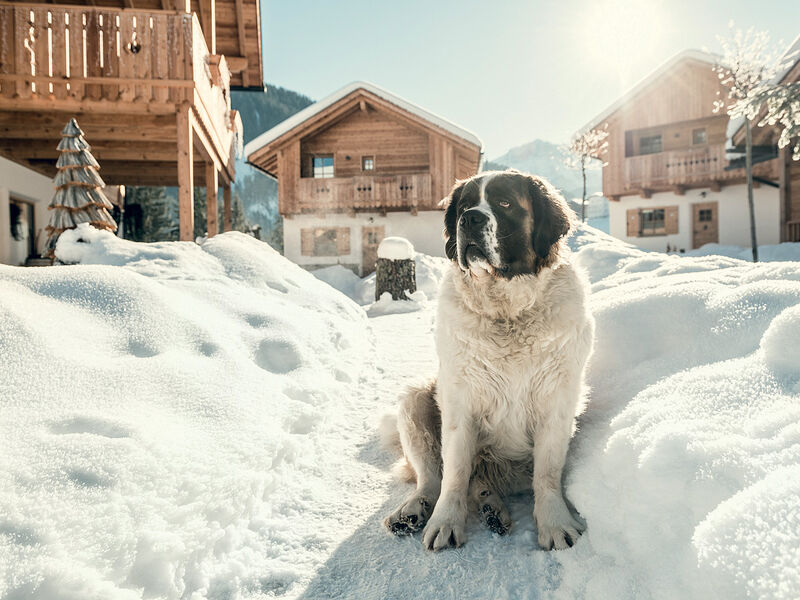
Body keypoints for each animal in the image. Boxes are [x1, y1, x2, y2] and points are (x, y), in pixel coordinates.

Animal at [382, 171, 592, 552]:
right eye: (464, 206)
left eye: (505, 203)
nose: (470, 219)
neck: (507, 310)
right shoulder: (459, 401)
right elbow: (454, 473)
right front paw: (446, 522)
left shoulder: (557, 400)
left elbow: (548, 472)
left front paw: (555, 524)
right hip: (415, 400)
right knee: (432, 478)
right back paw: (413, 511)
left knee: (480, 481)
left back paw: (493, 509)